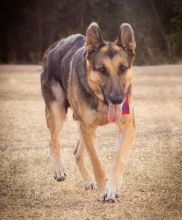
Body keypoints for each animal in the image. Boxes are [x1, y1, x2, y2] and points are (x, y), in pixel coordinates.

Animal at [40, 22, 136, 203]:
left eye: (122, 68)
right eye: (102, 70)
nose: (118, 99)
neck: (101, 100)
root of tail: (54, 47)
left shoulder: (128, 126)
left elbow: (119, 159)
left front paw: (112, 189)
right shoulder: (88, 128)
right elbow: (97, 163)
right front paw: (104, 190)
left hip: (82, 126)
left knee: (77, 153)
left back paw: (89, 181)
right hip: (57, 114)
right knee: (52, 140)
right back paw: (58, 170)